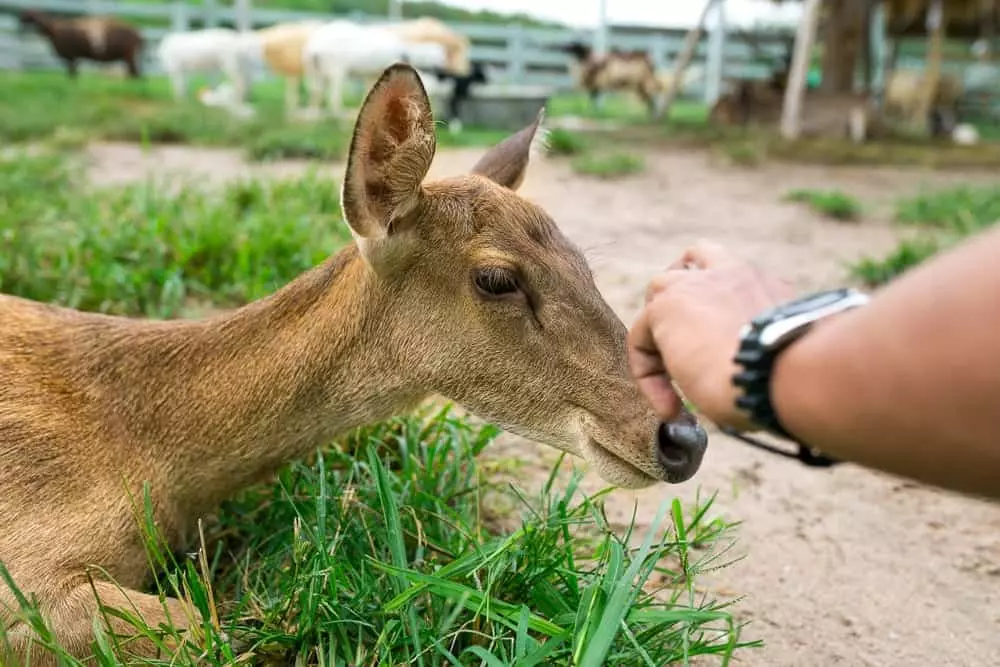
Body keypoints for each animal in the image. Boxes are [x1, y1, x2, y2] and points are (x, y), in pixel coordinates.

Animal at [0, 62, 708, 665]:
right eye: (497, 279)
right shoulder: (24, 575)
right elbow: (200, 627)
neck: (145, 450)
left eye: (587, 266)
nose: (683, 437)